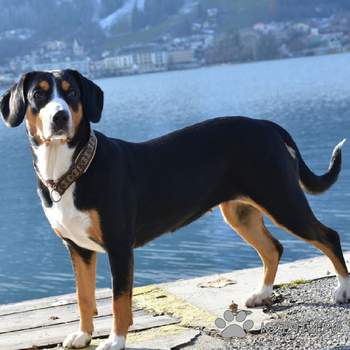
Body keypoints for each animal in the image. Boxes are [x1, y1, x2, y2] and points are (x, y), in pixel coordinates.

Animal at [0, 69, 348, 350]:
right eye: (38, 94)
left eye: (71, 92)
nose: (59, 117)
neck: (71, 170)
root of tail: (265, 124)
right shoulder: (77, 248)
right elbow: (84, 297)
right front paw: (83, 336)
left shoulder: (119, 247)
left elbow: (119, 301)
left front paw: (115, 340)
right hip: (240, 214)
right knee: (273, 248)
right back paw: (262, 294)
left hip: (282, 201)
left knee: (328, 236)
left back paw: (342, 290)